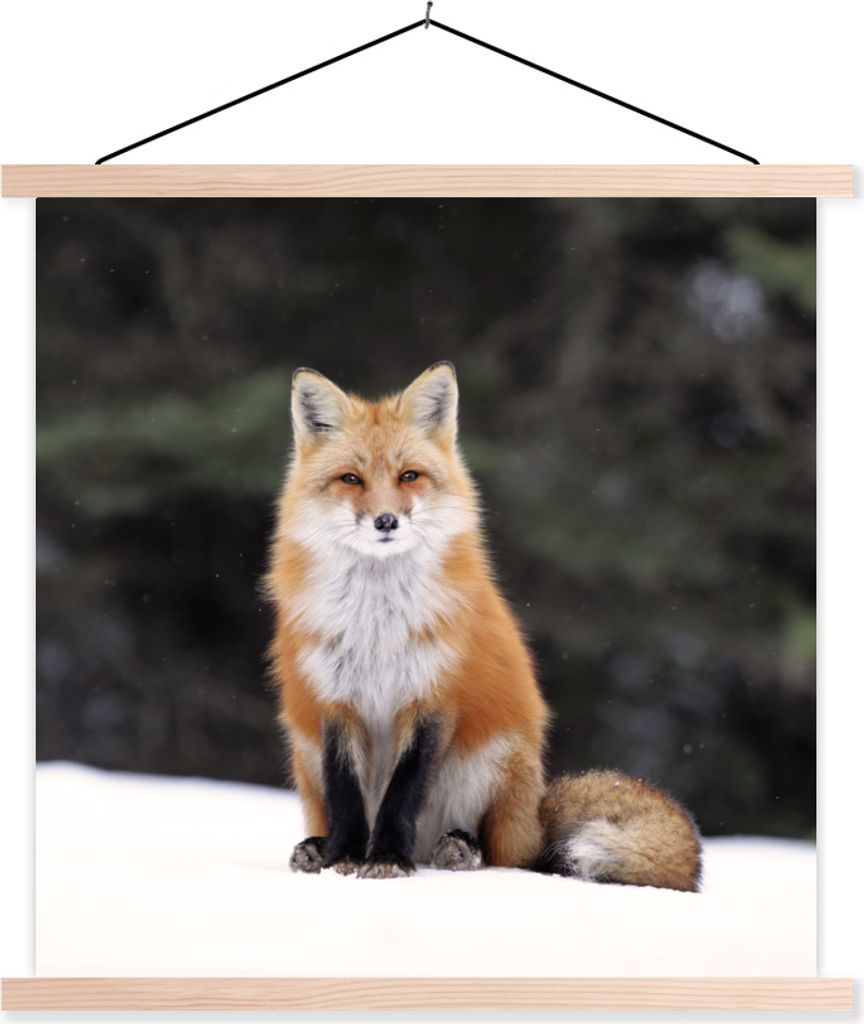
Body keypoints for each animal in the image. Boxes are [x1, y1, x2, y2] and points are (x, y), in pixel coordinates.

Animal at [267, 362, 701, 890]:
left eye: (408, 476)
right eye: (351, 478)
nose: (386, 521)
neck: (378, 625)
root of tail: (534, 817)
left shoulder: (433, 697)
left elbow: (402, 794)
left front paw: (387, 858)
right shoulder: (334, 699)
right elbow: (346, 795)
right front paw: (344, 858)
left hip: (492, 762)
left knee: (502, 853)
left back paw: (458, 849)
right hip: (304, 752)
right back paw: (314, 848)